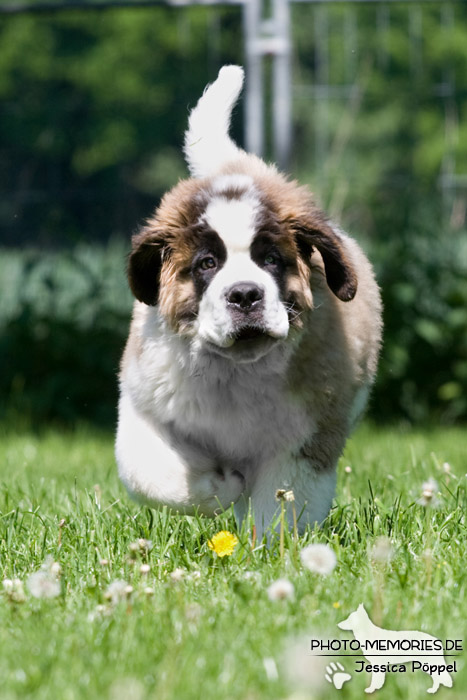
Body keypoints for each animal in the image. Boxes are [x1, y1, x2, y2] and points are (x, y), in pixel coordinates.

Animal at [115, 65, 382, 534]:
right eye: (207, 263)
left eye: (271, 259)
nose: (244, 294)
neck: (235, 371)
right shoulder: (145, 406)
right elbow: (153, 474)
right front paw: (217, 486)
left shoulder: (306, 440)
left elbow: (280, 508)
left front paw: (266, 546)